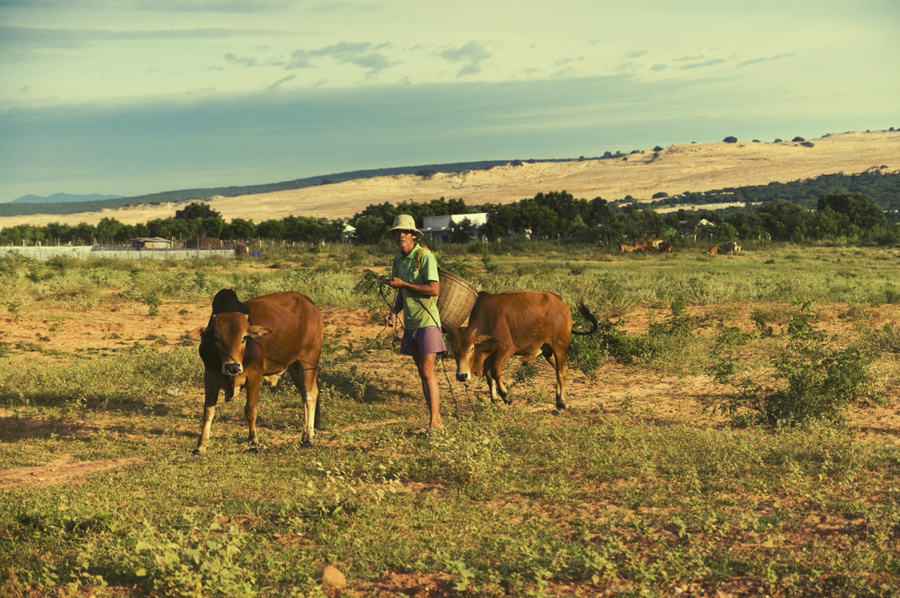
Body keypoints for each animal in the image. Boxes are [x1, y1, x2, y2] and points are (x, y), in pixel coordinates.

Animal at [186, 290, 324, 454]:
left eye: (244, 337)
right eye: (216, 339)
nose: (232, 367)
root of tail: (311, 305)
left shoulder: (254, 377)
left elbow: (250, 411)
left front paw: (253, 444)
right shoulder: (209, 378)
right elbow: (208, 412)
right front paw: (200, 445)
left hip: (309, 360)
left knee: (310, 394)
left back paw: (308, 438)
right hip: (295, 366)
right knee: (303, 395)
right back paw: (305, 435)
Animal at [450, 292, 596, 414]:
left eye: (471, 348)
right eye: (454, 350)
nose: (461, 376)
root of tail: (561, 302)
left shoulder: (506, 349)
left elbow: (495, 371)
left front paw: (506, 396)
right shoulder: (488, 357)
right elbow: (489, 377)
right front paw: (494, 401)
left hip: (560, 346)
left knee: (562, 370)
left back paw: (561, 403)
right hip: (547, 351)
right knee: (557, 370)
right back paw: (558, 399)